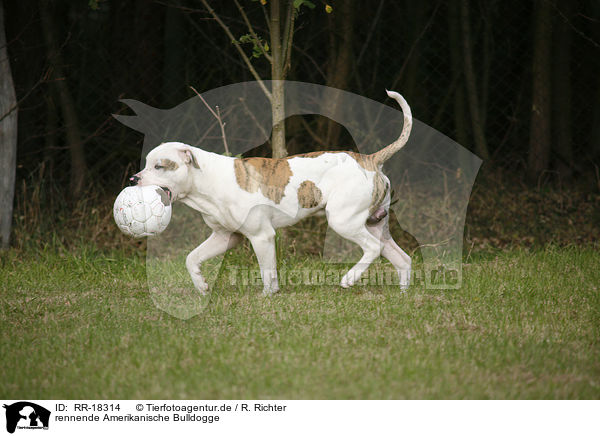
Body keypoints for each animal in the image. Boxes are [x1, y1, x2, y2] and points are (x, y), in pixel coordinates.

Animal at [131, 90, 412, 294]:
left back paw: (349, 279)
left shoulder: (262, 236)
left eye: (159, 166)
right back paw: (403, 293)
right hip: (376, 224)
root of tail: (370, 159)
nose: (134, 179)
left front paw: (267, 296)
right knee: (401, 258)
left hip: (343, 221)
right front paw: (201, 285)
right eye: (146, 164)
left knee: (372, 248)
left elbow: (267, 271)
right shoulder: (224, 237)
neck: (207, 181)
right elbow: (192, 258)